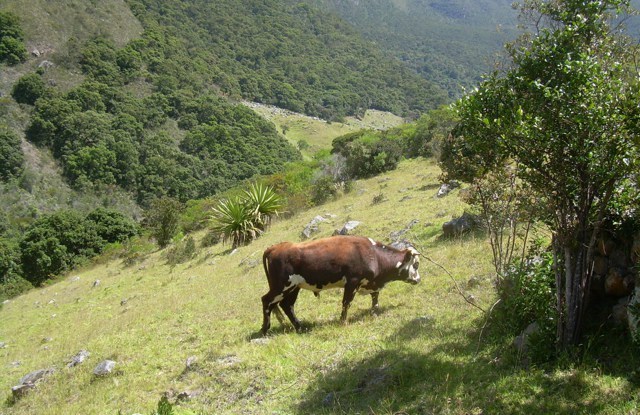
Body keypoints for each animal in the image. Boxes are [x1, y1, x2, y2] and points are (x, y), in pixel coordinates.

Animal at [260, 236, 420, 336]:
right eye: (416, 264)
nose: (418, 279)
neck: (373, 254)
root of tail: (276, 247)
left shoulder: (371, 283)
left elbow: (375, 298)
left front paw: (374, 313)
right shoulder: (352, 282)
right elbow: (346, 303)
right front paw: (343, 322)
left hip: (294, 287)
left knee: (286, 305)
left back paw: (300, 327)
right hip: (281, 286)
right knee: (266, 300)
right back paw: (265, 330)